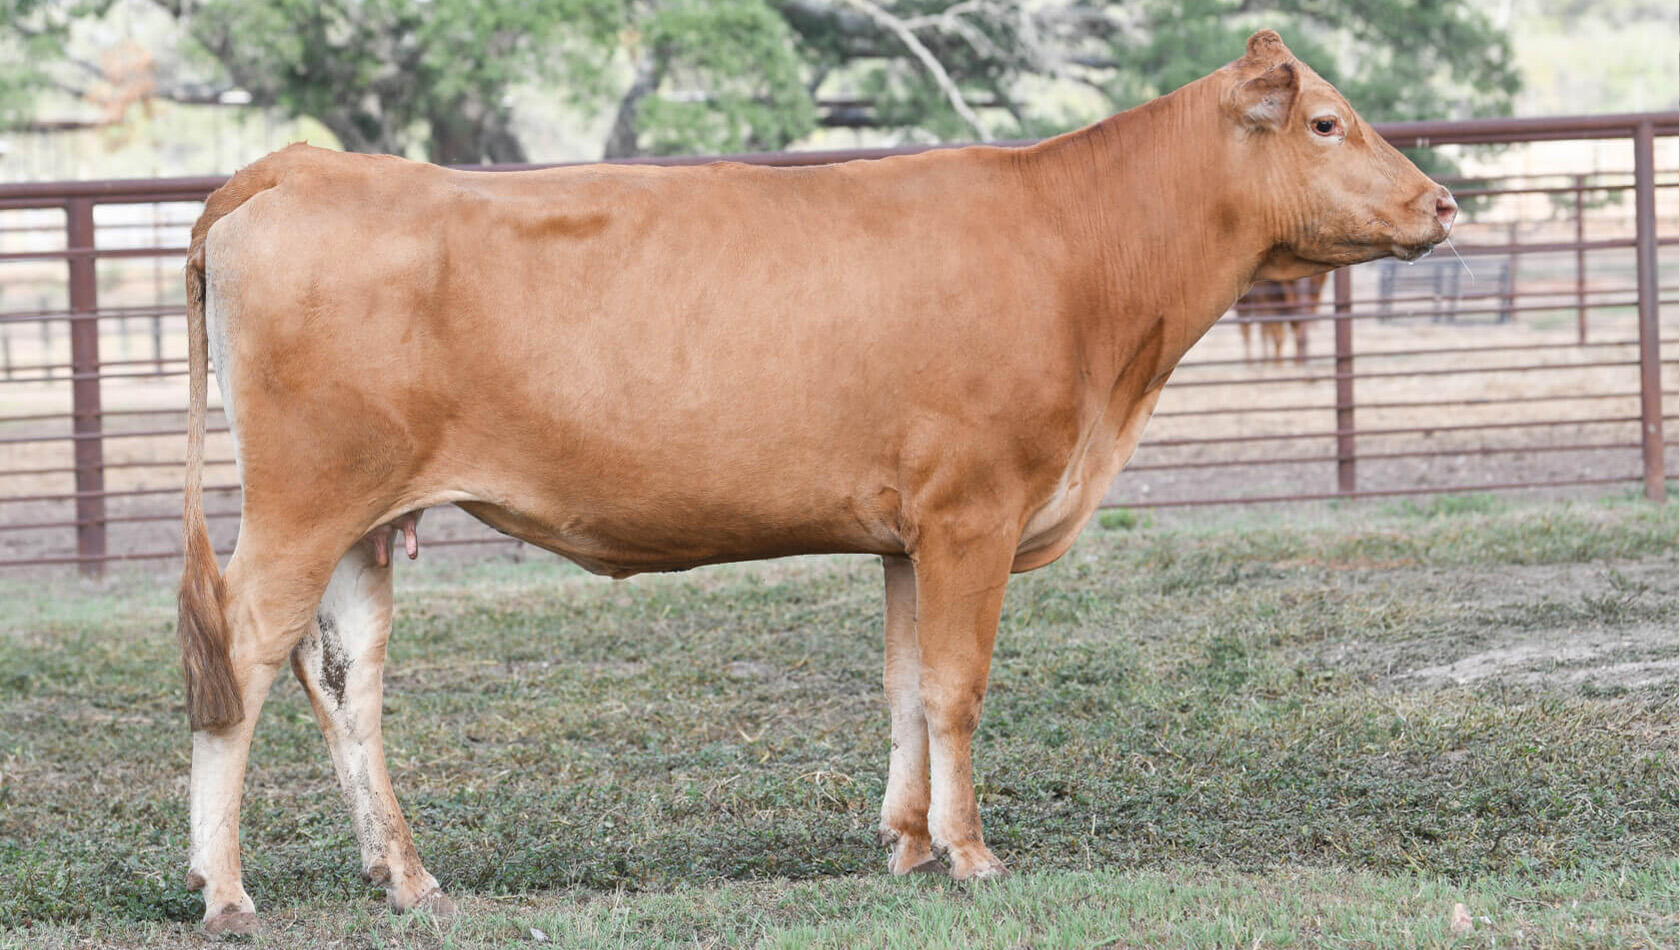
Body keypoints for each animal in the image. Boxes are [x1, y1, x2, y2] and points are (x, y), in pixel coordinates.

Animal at [176, 30, 1455, 935]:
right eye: (1329, 122)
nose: (1442, 201)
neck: (1084, 265)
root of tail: (296, 166)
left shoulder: (904, 533)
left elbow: (902, 686)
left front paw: (907, 842)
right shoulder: (974, 511)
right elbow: (956, 687)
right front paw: (972, 852)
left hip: (367, 519)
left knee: (348, 680)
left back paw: (406, 874)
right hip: (303, 501)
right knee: (240, 651)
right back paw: (226, 887)